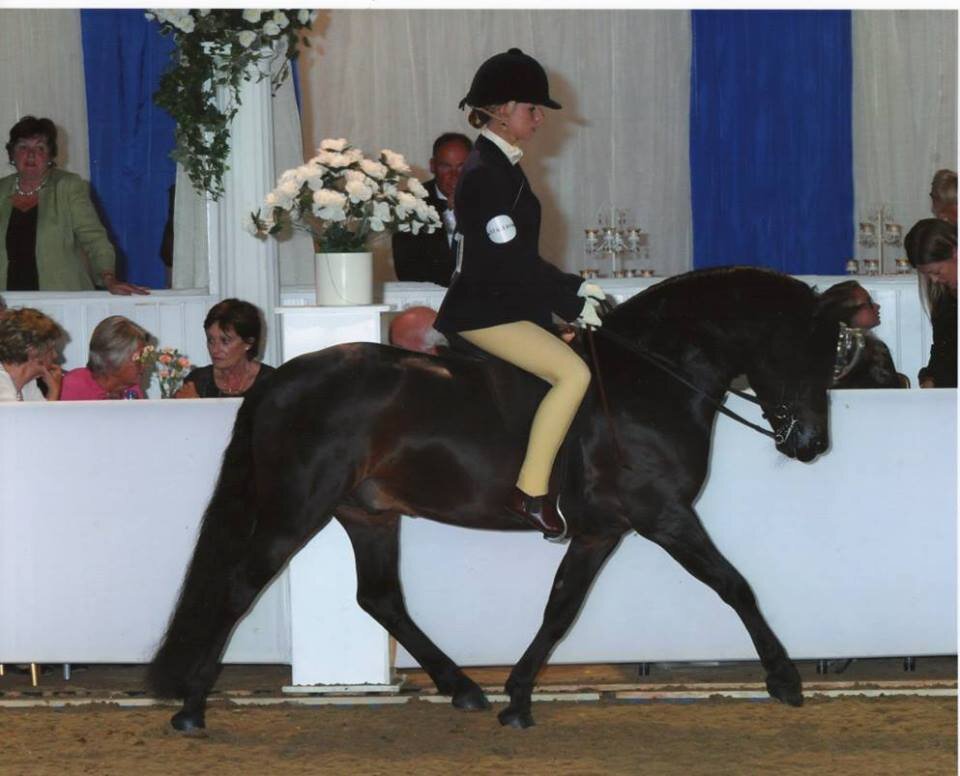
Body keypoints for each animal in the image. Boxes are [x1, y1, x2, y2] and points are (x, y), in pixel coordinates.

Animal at [146, 266, 844, 728]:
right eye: (804, 351)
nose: (811, 443)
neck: (647, 380)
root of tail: (283, 378)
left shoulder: (602, 530)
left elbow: (560, 608)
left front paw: (517, 698)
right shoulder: (664, 515)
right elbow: (735, 585)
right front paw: (784, 679)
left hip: (368, 514)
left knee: (380, 597)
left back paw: (463, 688)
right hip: (297, 509)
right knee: (241, 586)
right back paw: (191, 709)